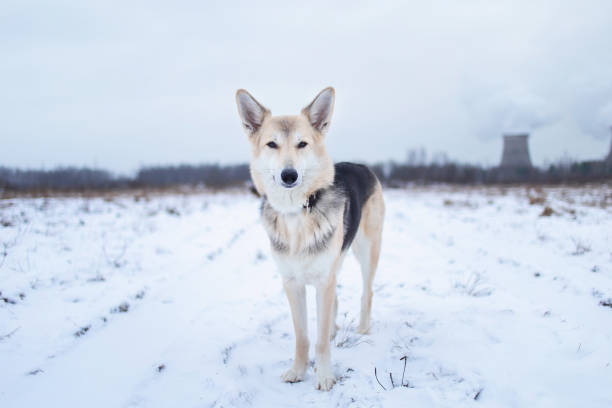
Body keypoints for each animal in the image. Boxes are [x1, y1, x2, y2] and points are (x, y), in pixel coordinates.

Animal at [234, 86, 382, 388]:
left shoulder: (323, 281)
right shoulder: (293, 284)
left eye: (302, 144)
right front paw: (298, 370)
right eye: (272, 145)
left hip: (366, 251)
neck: (296, 213)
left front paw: (324, 375)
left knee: (367, 292)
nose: (288, 175)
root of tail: (362, 165)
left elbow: (320, 340)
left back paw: (363, 328)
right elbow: (302, 336)